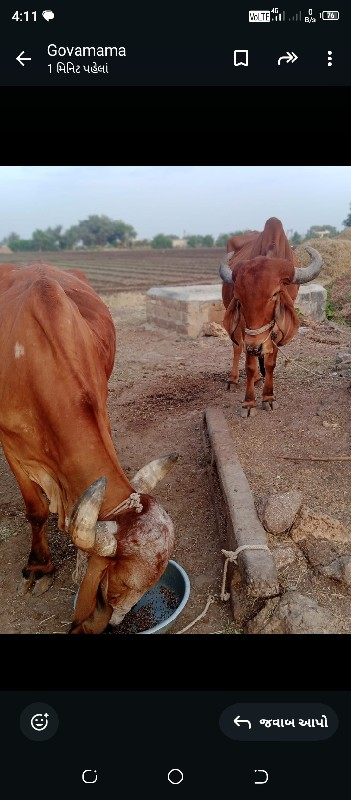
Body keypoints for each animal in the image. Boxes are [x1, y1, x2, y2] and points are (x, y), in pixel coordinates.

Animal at [0, 262, 177, 632]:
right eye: (119, 587)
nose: (110, 624)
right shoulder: (12, 445)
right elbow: (35, 510)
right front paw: (39, 567)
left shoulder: (102, 411)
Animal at [220, 219, 324, 418]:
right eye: (239, 296)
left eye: (275, 294)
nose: (255, 346)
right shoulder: (246, 327)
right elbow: (250, 364)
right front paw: (249, 403)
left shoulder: (277, 327)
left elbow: (270, 363)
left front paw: (268, 397)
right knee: (237, 348)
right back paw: (233, 379)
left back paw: (258, 379)